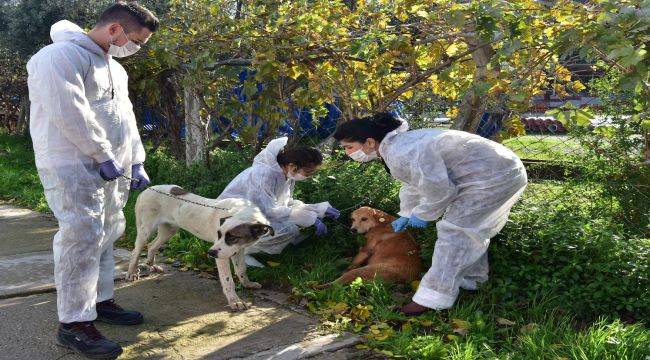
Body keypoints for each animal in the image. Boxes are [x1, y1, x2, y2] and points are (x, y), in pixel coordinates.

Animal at [128, 186, 272, 310]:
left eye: (233, 238)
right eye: (219, 234)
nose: (210, 252)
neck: (241, 211)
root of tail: (145, 190)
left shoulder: (237, 249)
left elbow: (241, 269)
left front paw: (248, 284)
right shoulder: (221, 256)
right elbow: (227, 279)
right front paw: (234, 301)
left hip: (169, 230)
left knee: (151, 246)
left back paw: (152, 265)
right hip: (146, 230)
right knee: (136, 251)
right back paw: (132, 273)